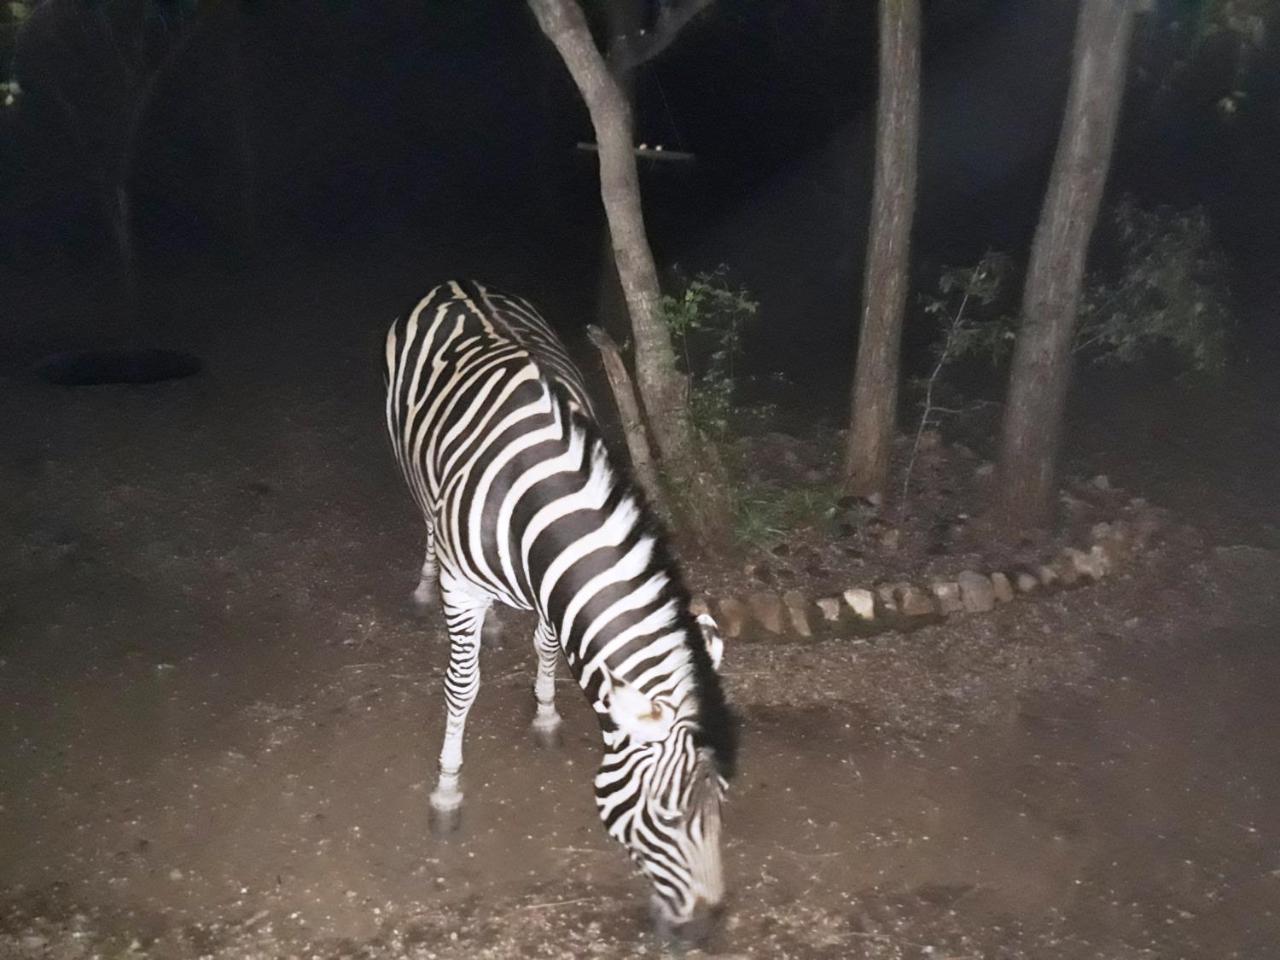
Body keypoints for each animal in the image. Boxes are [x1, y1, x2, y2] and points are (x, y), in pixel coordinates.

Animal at [381, 281, 742, 942]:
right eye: (664, 815)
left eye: (722, 803)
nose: (705, 930)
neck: (537, 496)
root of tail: (459, 284)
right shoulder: (464, 588)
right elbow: (461, 688)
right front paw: (447, 791)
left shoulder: (552, 587)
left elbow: (547, 647)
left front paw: (546, 714)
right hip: (411, 466)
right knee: (427, 521)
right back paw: (424, 586)